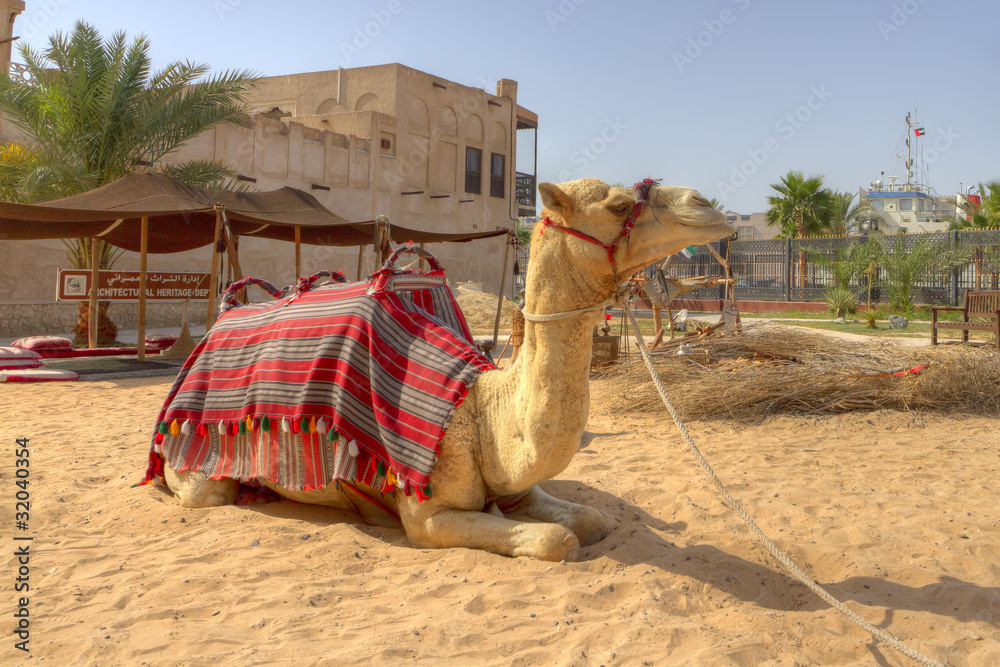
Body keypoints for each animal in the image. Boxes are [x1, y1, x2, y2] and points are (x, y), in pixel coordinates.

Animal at [164, 178, 735, 561]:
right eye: (617, 206)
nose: (708, 205)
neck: (482, 410)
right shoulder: (429, 517)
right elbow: (558, 541)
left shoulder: (519, 484)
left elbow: (590, 518)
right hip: (196, 462)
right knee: (203, 492)